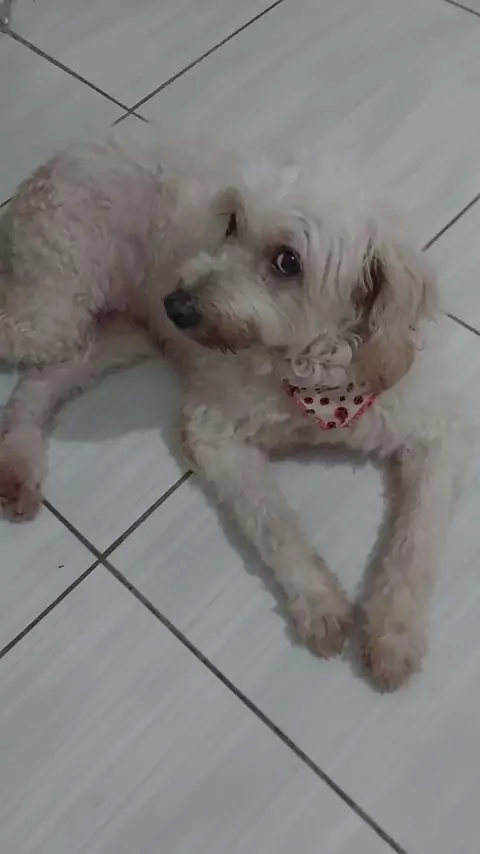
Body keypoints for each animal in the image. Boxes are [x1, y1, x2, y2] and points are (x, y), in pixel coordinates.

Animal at [0, 126, 467, 690]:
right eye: (231, 223)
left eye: (287, 261)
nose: (176, 306)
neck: (314, 370)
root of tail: (49, 168)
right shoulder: (214, 431)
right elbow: (274, 521)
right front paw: (319, 602)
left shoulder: (435, 433)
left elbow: (416, 541)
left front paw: (395, 633)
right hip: (53, 311)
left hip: (120, 334)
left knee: (38, 385)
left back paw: (18, 465)